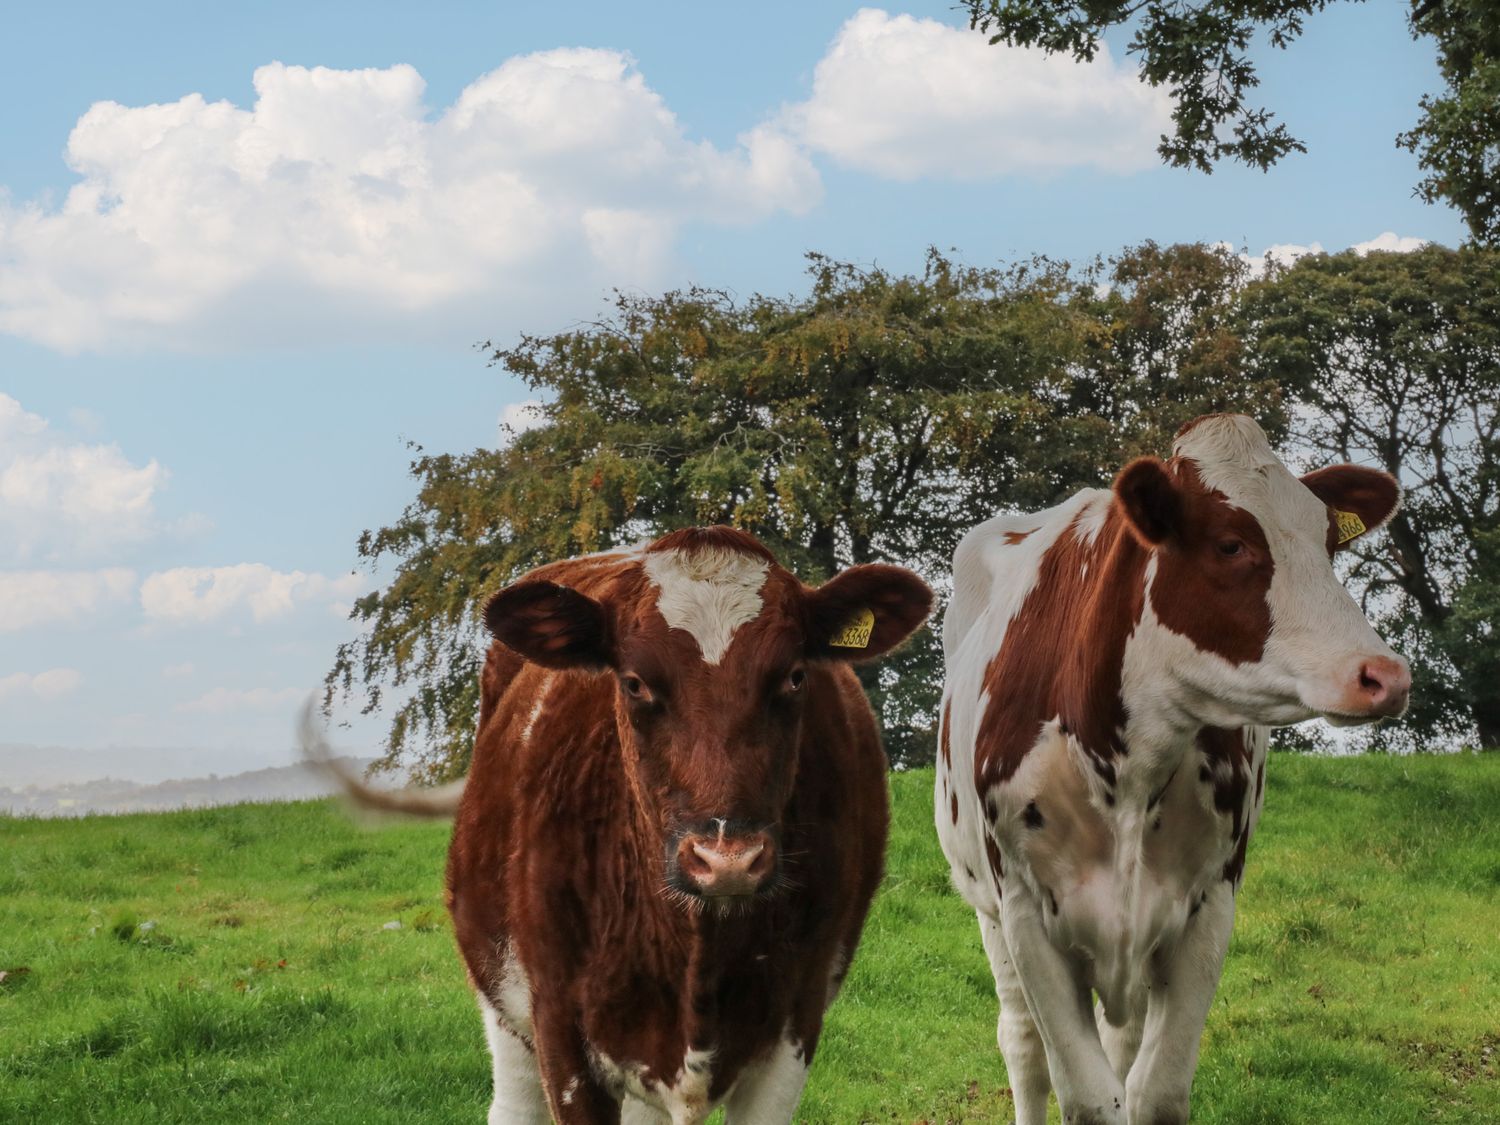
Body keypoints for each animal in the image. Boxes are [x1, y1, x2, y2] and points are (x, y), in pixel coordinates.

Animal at [444, 531, 930, 1125]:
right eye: (634, 683)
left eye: (794, 676)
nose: (727, 861)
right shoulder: (559, 1028)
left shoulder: (796, 1018)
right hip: (501, 999)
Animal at [936, 417, 1404, 1125]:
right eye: (1230, 543)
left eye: (1327, 541)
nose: (1385, 675)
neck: (1128, 768)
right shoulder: (1023, 911)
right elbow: (1087, 1096)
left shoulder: (1208, 906)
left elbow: (1153, 1092)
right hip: (988, 914)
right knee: (1021, 1046)